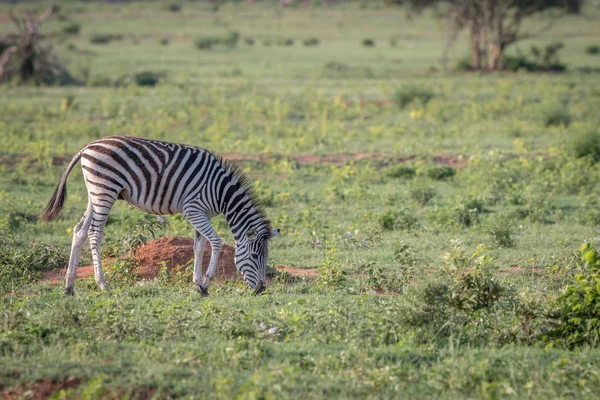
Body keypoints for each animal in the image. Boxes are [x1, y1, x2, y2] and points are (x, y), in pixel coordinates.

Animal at [42, 136, 282, 296]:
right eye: (254, 257)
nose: (261, 289)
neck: (220, 191)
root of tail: (88, 146)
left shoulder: (200, 213)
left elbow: (199, 247)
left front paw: (198, 284)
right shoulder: (193, 209)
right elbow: (215, 242)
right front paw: (206, 283)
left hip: (95, 192)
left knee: (79, 230)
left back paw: (69, 287)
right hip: (105, 189)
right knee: (94, 233)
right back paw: (102, 283)